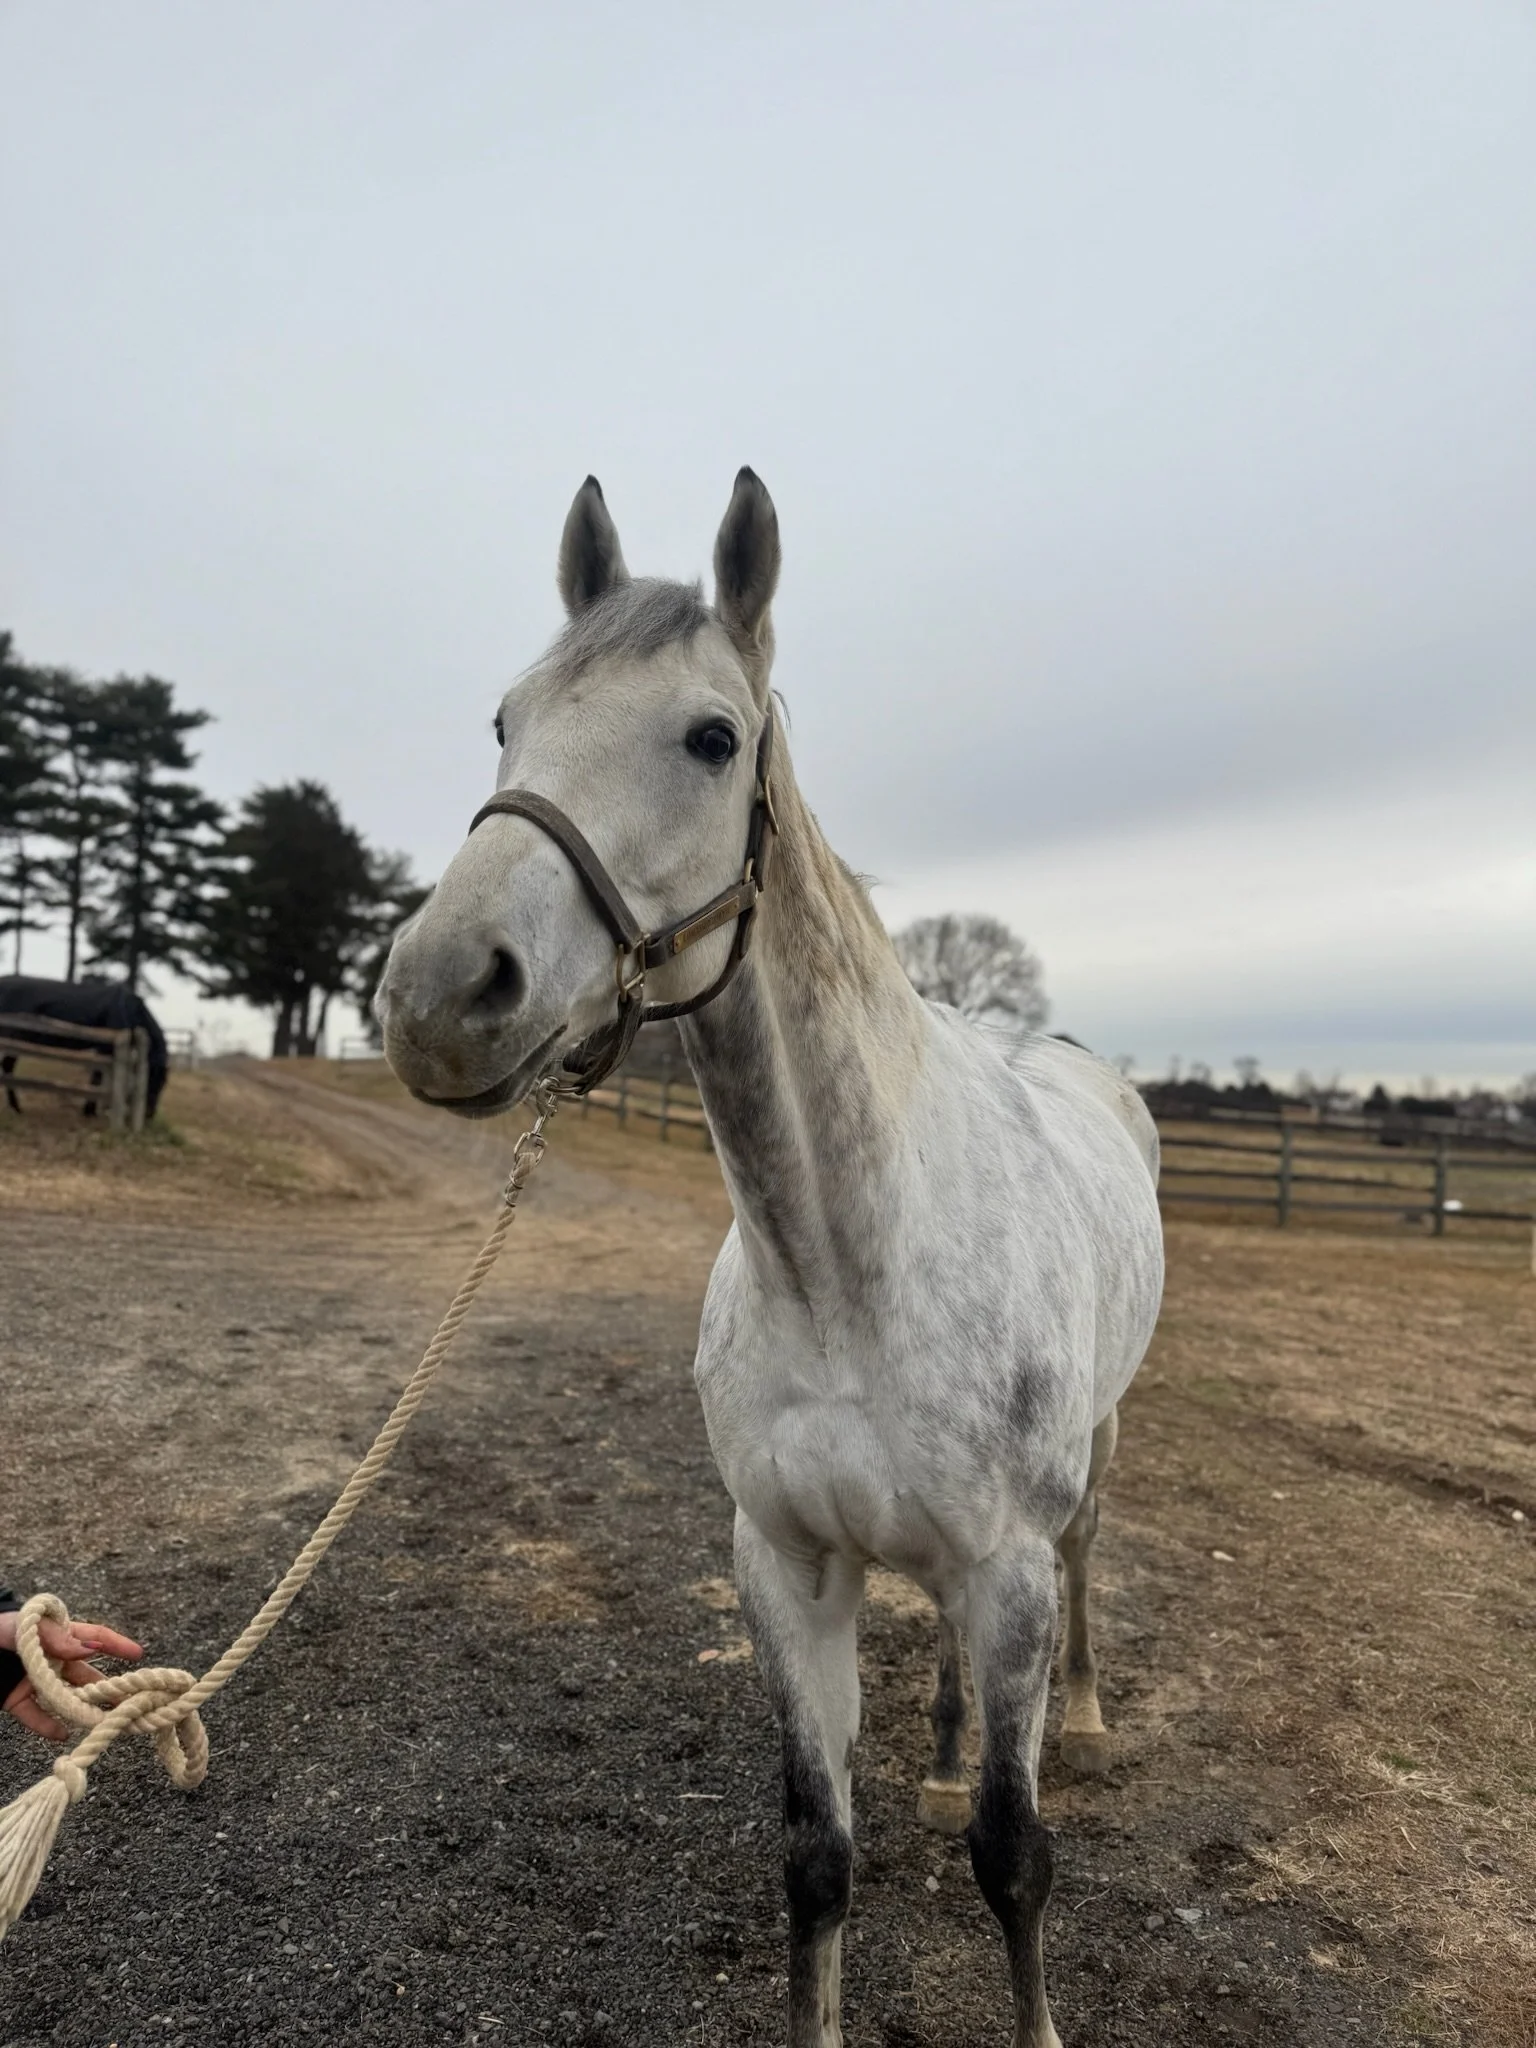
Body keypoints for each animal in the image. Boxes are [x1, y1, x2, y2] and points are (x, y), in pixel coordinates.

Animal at [376, 471, 1164, 2048]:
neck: (848, 1259)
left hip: (1084, 1481)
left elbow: (1015, 1855)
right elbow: (817, 1855)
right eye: (504, 721)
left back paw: (1093, 1713)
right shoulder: (787, 1566)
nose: (441, 994)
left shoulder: (1010, 1569)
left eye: (711, 736)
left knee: (1090, 1561)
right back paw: (940, 1748)